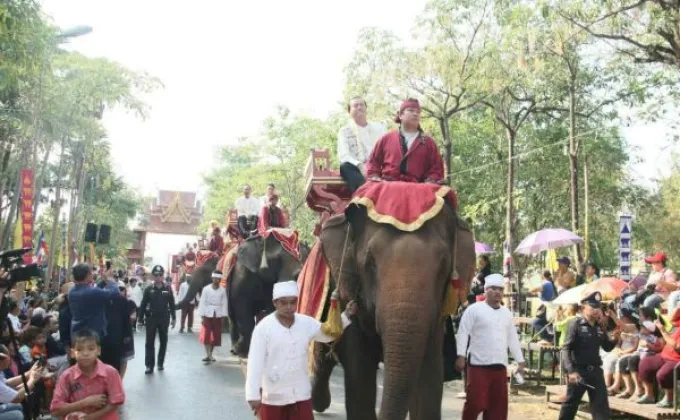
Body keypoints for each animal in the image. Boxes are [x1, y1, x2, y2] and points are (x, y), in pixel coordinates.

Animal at [177, 236, 312, 358]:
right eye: (276, 260)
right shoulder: (241, 274)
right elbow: (243, 311)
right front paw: (243, 351)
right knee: (233, 316)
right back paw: (234, 349)